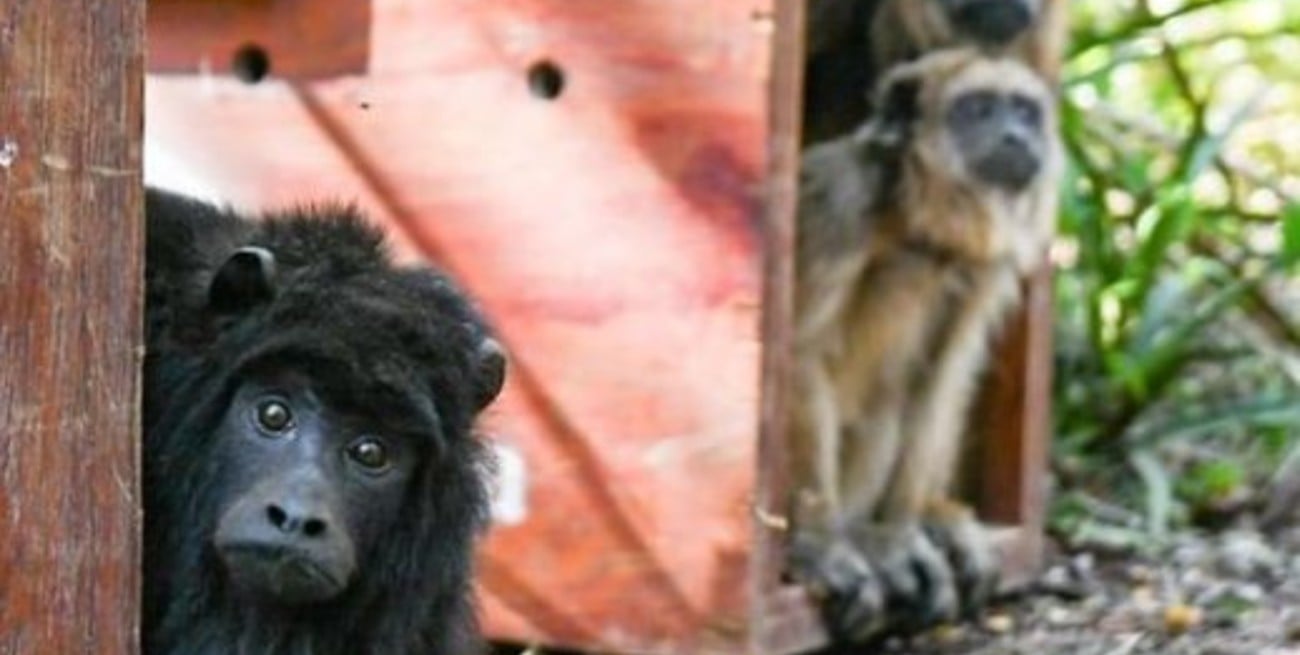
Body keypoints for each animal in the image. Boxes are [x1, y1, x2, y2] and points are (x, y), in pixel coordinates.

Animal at [788, 49, 1061, 640]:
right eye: (976, 109)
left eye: (1025, 112)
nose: (1015, 136)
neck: (915, 223)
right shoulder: (839, 202)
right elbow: (799, 356)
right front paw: (820, 545)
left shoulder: (985, 266)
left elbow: (943, 374)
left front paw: (899, 534)